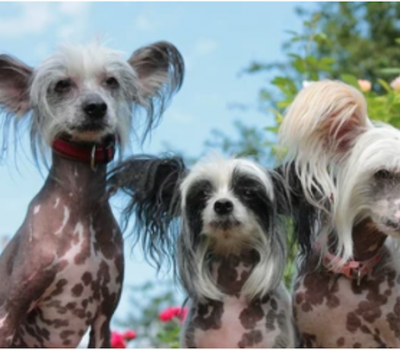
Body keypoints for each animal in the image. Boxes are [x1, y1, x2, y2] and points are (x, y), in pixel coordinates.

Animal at [0, 41, 184, 348]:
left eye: (111, 81)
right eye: (62, 84)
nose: (96, 106)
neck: (80, 206)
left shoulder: (103, 319)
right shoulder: (10, 314)